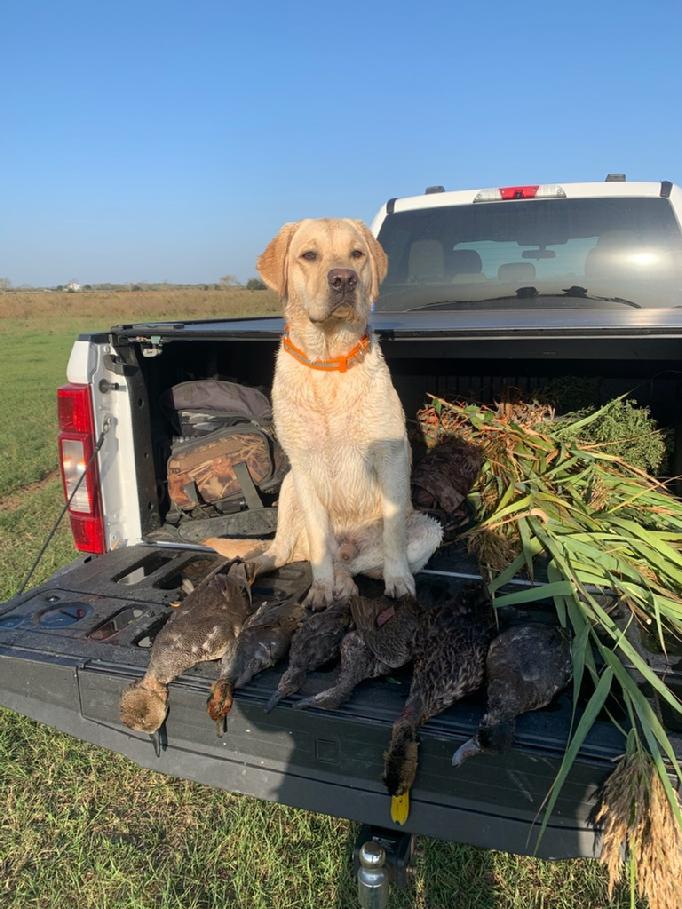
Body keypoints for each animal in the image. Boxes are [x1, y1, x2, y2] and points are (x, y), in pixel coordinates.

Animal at [209, 216, 440, 608]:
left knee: (359, 562)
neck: (328, 362)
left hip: (428, 528)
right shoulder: (303, 467)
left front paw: (398, 581)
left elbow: (393, 535)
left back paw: (349, 581)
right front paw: (320, 588)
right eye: (309, 255)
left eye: (357, 254)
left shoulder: (390, 458)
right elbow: (320, 543)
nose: (344, 279)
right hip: (289, 489)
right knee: (284, 551)